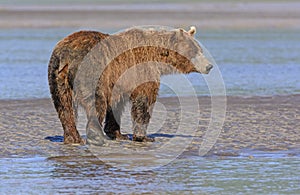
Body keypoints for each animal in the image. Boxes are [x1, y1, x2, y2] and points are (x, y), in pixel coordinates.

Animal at [47, 25, 213, 145]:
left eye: (200, 49)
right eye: (194, 50)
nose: (209, 66)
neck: (158, 55)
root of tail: (67, 56)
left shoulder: (118, 81)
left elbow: (115, 106)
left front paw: (118, 134)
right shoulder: (141, 69)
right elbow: (144, 100)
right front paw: (143, 137)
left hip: (57, 76)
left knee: (64, 107)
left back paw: (73, 138)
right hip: (92, 71)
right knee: (96, 102)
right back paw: (96, 137)